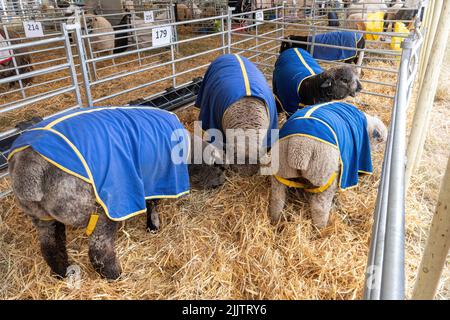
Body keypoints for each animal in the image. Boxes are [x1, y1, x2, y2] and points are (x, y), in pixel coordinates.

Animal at [9, 106, 229, 278]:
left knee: (50, 247)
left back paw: (62, 273)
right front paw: (153, 226)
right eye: (220, 168)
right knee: (99, 251)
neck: (187, 154)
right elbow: (153, 203)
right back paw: (115, 275)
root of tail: (29, 166)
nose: (221, 185)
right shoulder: (156, 177)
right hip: (100, 208)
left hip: (41, 215)